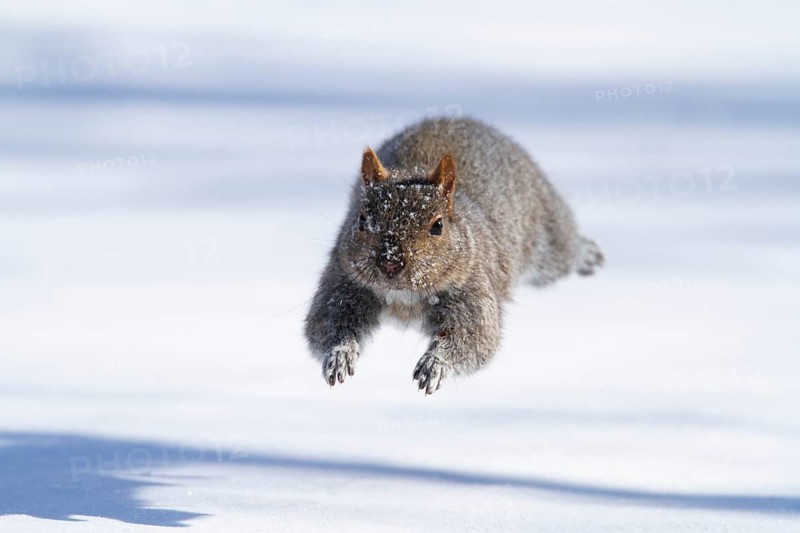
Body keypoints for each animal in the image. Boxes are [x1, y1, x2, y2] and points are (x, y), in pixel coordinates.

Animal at [304, 117, 604, 394]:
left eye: (438, 225)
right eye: (362, 220)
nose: (390, 262)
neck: (404, 299)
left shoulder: (471, 287)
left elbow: (474, 337)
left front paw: (435, 363)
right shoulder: (344, 281)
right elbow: (327, 324)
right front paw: (339, 354)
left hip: (547, 244)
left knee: (564, 250)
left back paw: (588, 254)